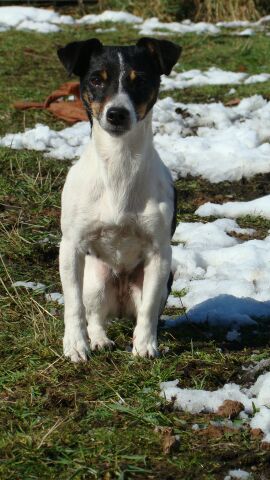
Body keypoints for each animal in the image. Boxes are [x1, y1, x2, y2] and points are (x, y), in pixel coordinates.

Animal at [57, 36, 181, 360]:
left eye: (141, 81)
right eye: (96, 80)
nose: (116, 114)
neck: (119, 164)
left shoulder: (159, 253)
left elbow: (148, 310)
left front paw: (145, 346)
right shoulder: (70, 247)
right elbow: (73, 306)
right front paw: (75, 345)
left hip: (164, 280)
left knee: (144, 311)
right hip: (96, 280)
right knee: (95, 316)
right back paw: (99, 340)